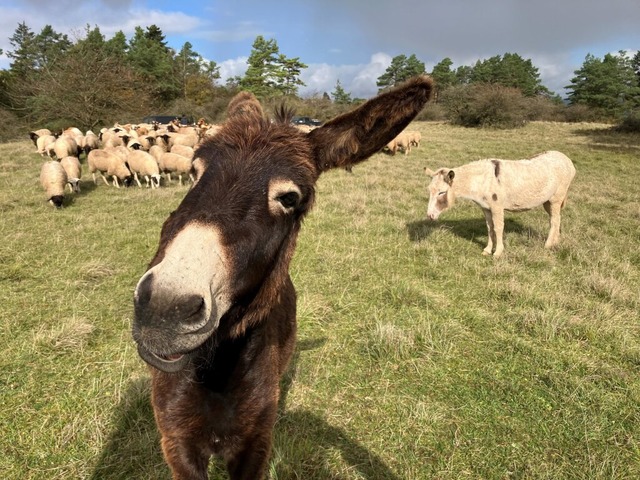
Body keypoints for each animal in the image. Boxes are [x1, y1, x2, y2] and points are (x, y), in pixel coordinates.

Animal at [424, 150, 576, 256]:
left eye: (441, 193)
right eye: (429, 190)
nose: (430, 216)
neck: (482, 180)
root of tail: (566, 158)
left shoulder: (497, 206)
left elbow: (498, 228)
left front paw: (497, 253)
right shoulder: (486, 208)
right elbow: (489, 228)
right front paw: (487, 250)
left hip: (556, 197)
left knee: (554, 221)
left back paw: (548, 245)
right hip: (548, 201)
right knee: (557, 218)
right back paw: (555, 241)